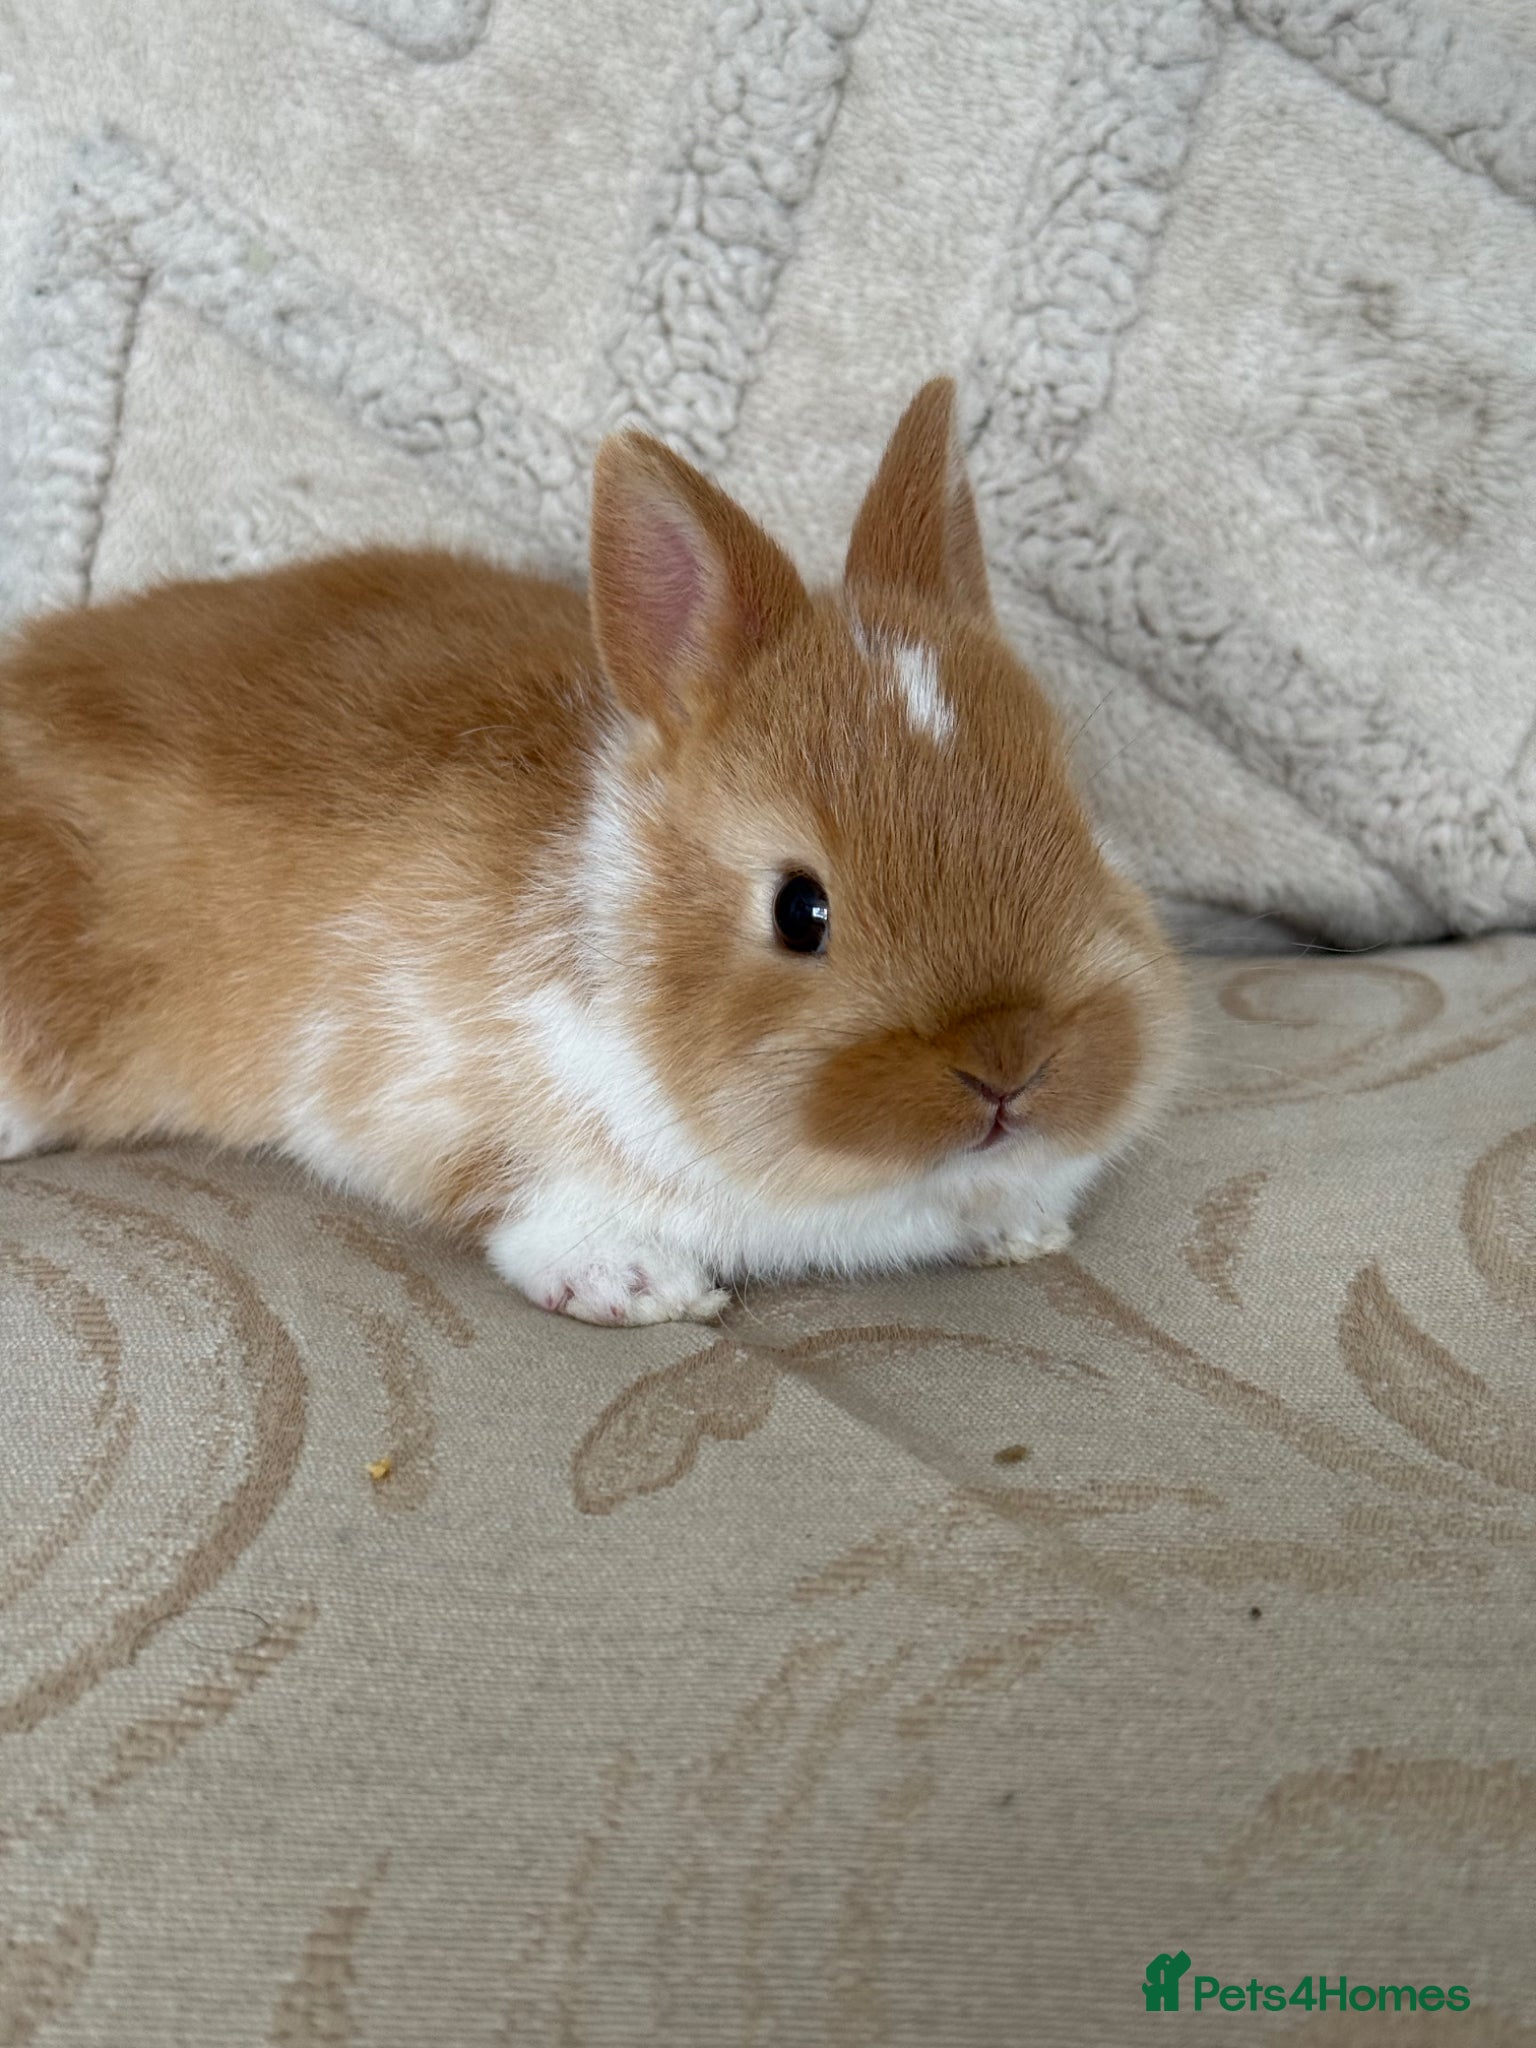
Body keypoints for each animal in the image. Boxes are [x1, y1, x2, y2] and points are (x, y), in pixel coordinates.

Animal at [0, 378, 1186, 1324]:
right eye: (800, 910)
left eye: (1078, 822)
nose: (1011, 1066)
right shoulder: (416, 1084)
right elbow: (525, 1205)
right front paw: (642, 1288)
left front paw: (1026, 1231)